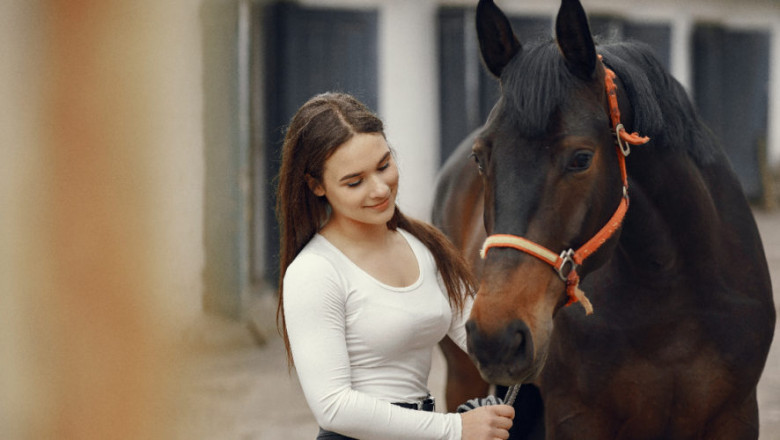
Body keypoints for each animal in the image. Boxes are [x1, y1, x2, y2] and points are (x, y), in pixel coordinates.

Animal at [432, 0, 776, 438]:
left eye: (581, 159)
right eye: (480, 157)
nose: (497, 336)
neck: (672, 296)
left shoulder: (735, 416)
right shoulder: (576, 417)